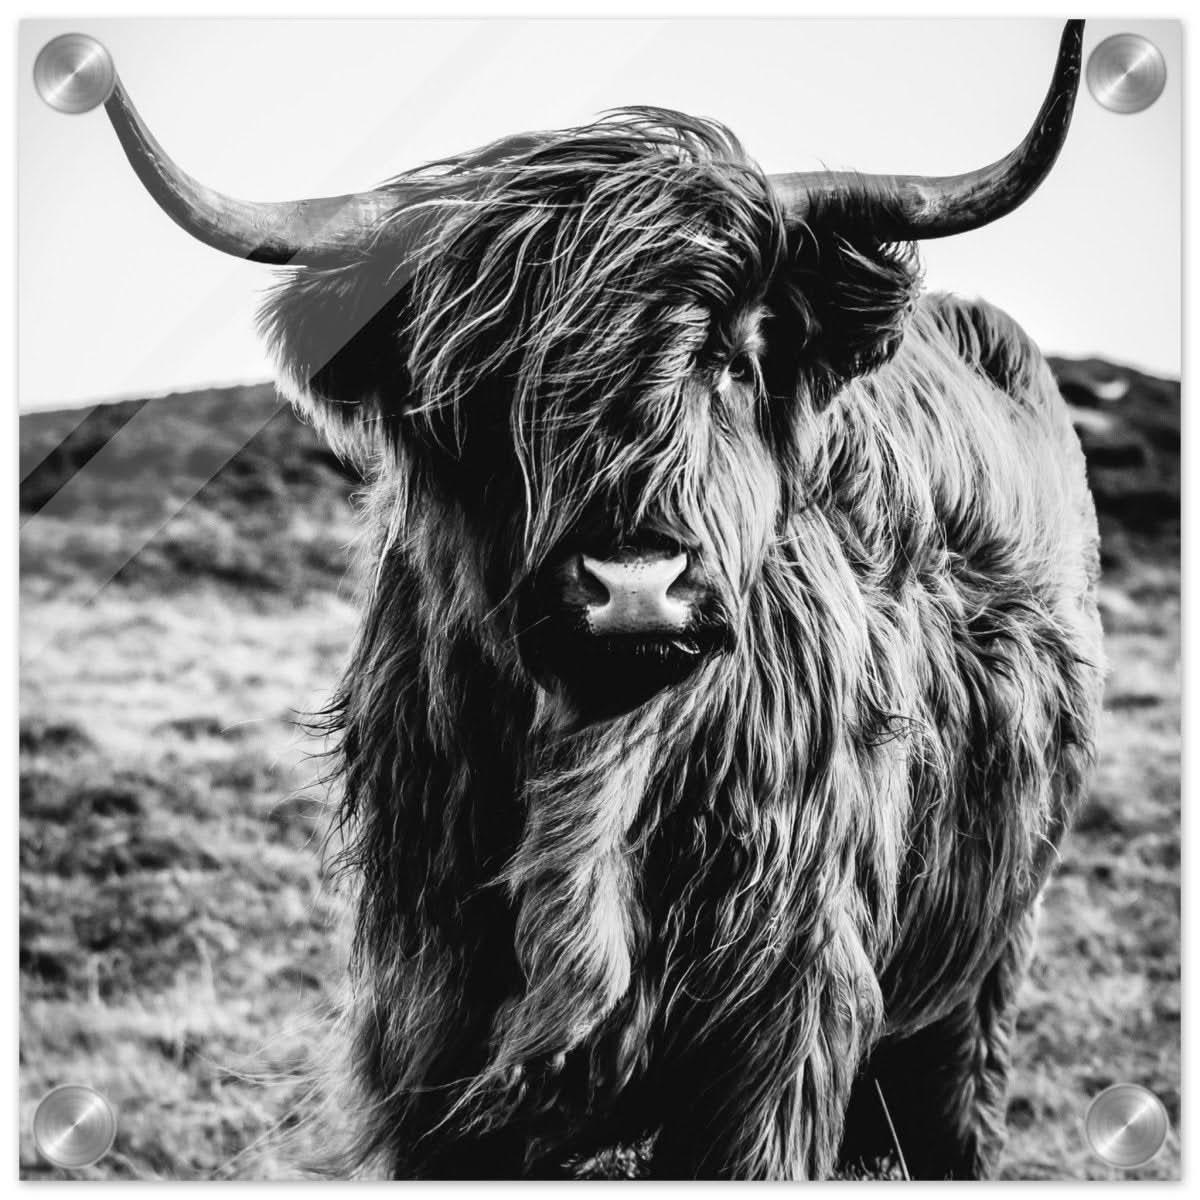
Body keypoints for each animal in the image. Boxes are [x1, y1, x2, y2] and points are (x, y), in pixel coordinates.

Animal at [94, 19, 1103, 1180]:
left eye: (733, 356)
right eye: (483, 386)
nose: (634, 586)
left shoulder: (778, 1033)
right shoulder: (432, 1031)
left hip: (983, 968)